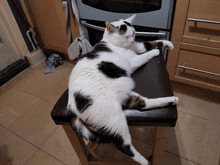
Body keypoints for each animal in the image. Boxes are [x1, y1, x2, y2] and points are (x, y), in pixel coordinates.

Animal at [68, 14, 178, 164]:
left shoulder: (138, 46)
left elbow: (151, 42)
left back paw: (172, 100)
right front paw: (156, 52)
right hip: (116, 121)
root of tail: (70, 104)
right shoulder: (134, 60)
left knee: (144, 104)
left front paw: (168, 44)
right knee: (124, 146)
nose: (131, 41)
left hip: (125, 97)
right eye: (126, 36)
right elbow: (147, 52)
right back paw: (144, 161)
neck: (113, 43)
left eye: (134, 34)